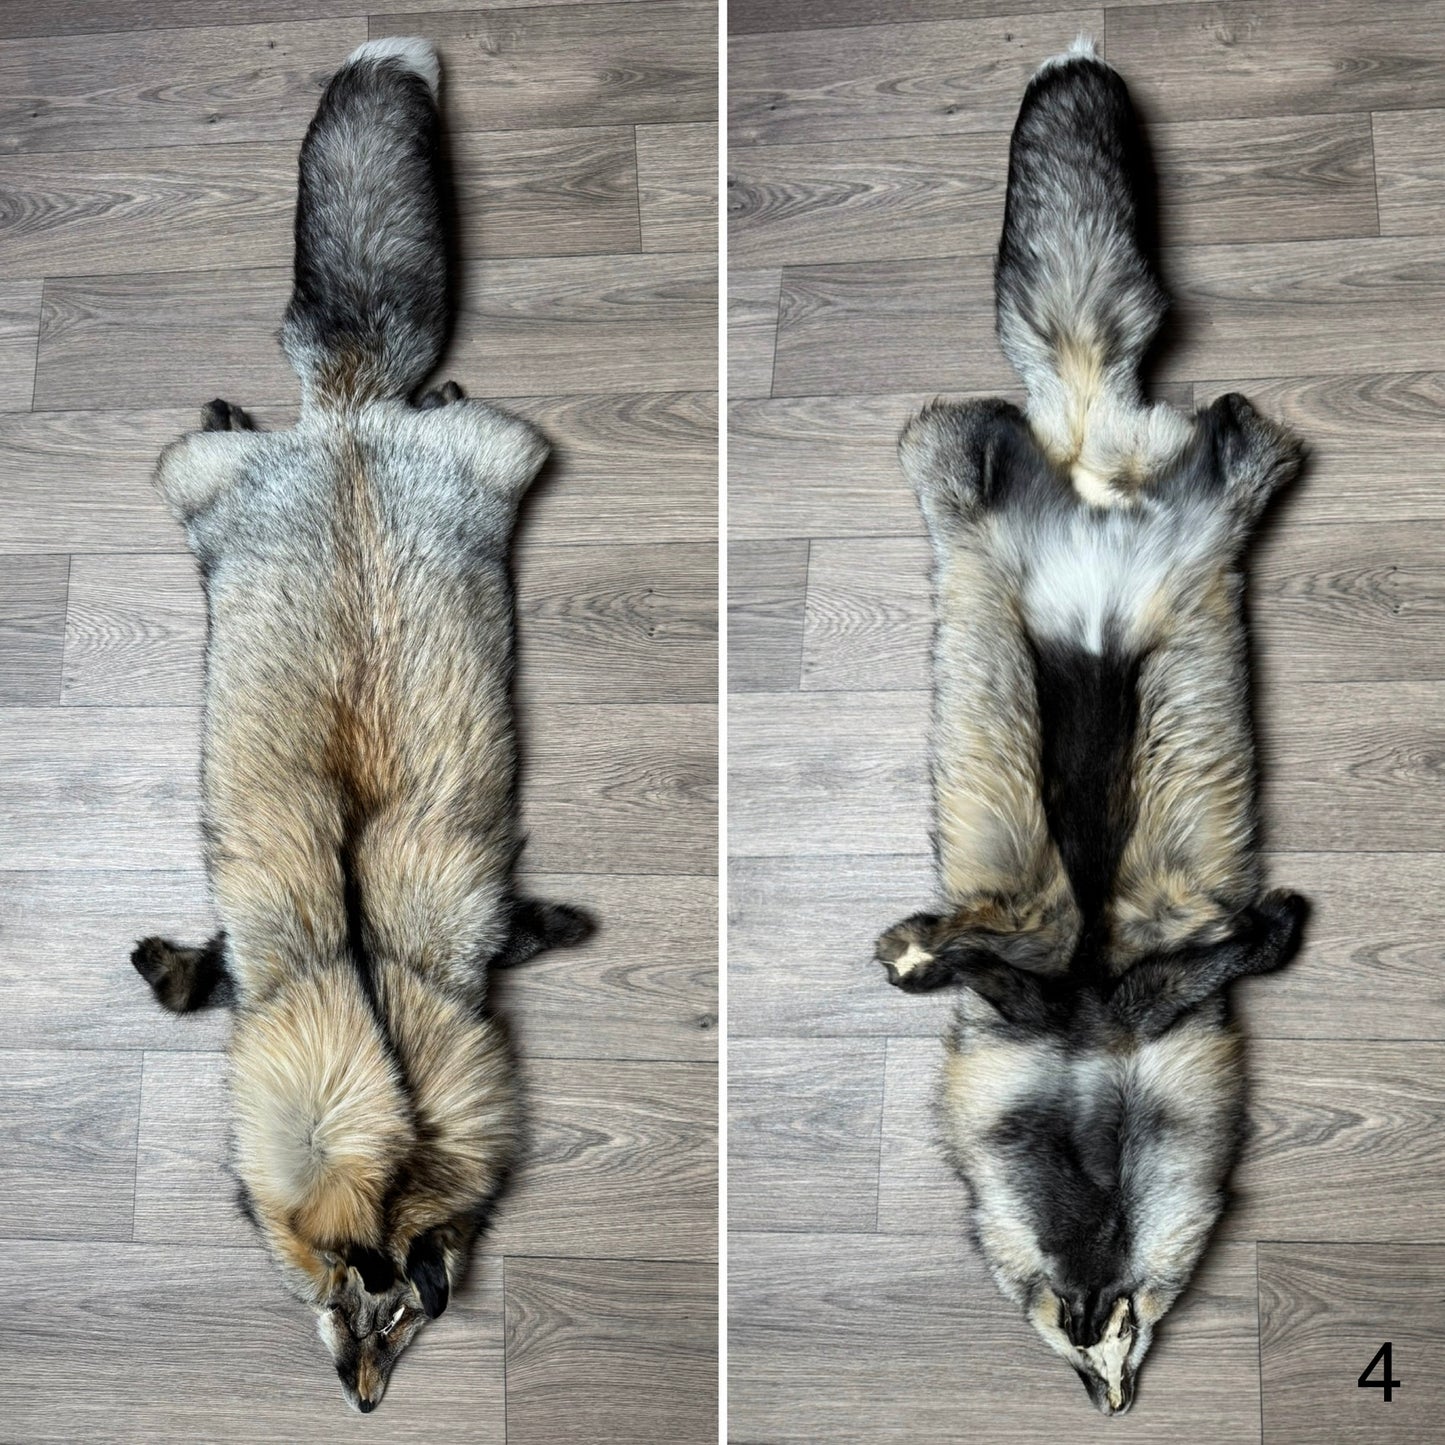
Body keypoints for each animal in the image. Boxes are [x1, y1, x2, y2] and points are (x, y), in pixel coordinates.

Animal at [129, 37, 591, 1412]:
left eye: (403, 1324)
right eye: (346, 1306)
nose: (364, 1401)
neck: (368, 985)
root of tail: (349, 421)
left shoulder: (470, 937)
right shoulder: (260, 957)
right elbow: (193, 974)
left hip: (493, 459)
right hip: (228, 488)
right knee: (227, 434)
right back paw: (257, 408)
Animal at [873, 39, 1307, 1415]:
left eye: (1122, 1333)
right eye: (1072, 1345)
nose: (1107, 1395)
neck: (1089, 1054)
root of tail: (1086, 444)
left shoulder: (1138, 990)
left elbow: (1216, 946)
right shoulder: (1053, 992)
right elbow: (1000, 944)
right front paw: (913, 952)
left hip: (1186, 501)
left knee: (1238, 430)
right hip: (961, 481)